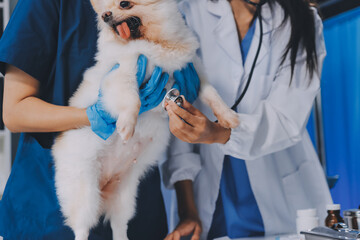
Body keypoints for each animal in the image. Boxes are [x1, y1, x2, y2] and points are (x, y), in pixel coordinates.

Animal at [52, 0, 239, 239]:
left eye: (124, 4)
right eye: (104, 11)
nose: (105, 15)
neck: (157, 43)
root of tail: (104, 184)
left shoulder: (196, 74)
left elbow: (213, 95)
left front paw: (228, 117)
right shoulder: (123, 74)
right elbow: (134, 100)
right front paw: (127, 125)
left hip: (124, 198)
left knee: (119, 225)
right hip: (84, 195)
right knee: (82, 227)